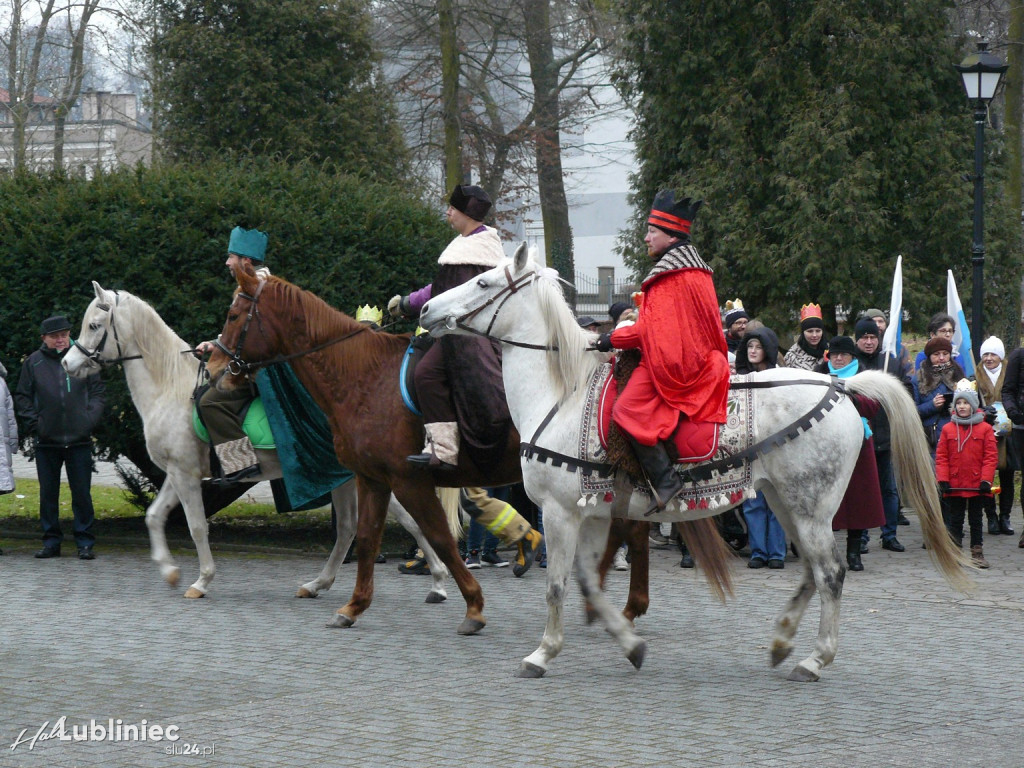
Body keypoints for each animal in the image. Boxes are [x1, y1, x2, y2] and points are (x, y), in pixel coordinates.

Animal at [61, 282, 450, 602]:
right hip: (350, 476)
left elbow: (197, 526)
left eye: (94, 325)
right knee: (366, 527)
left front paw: (201, 581)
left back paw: (433, 581)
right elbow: (154, 516)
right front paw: (169, 571)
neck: (170, 388)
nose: (67, 362)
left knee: (390, 523)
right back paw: (330, 584)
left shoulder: (186, 475)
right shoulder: (178, 472)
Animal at [203, 268, 724, 634]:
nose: (214, 368)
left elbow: (439, 537)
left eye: (233, 315)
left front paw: (472, 605)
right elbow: (368, 539)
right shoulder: (374, 479)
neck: (364, 378)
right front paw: (353, 606)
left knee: (632, 530)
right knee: (631, 529)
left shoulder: (409, 479)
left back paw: (619, 604)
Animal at [419, 244, 970, 679]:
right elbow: (587, 582)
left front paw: (542, 654)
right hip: (787, 502)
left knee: (830, 573)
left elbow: (557, 586)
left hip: (809, 507)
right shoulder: (590, 512)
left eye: (483, 281)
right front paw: (629, 643)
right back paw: (782, 642)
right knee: (815, 572)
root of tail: (838, 386)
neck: (562, 394)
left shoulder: (560, 511)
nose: (426, 312)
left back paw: (815, 659)